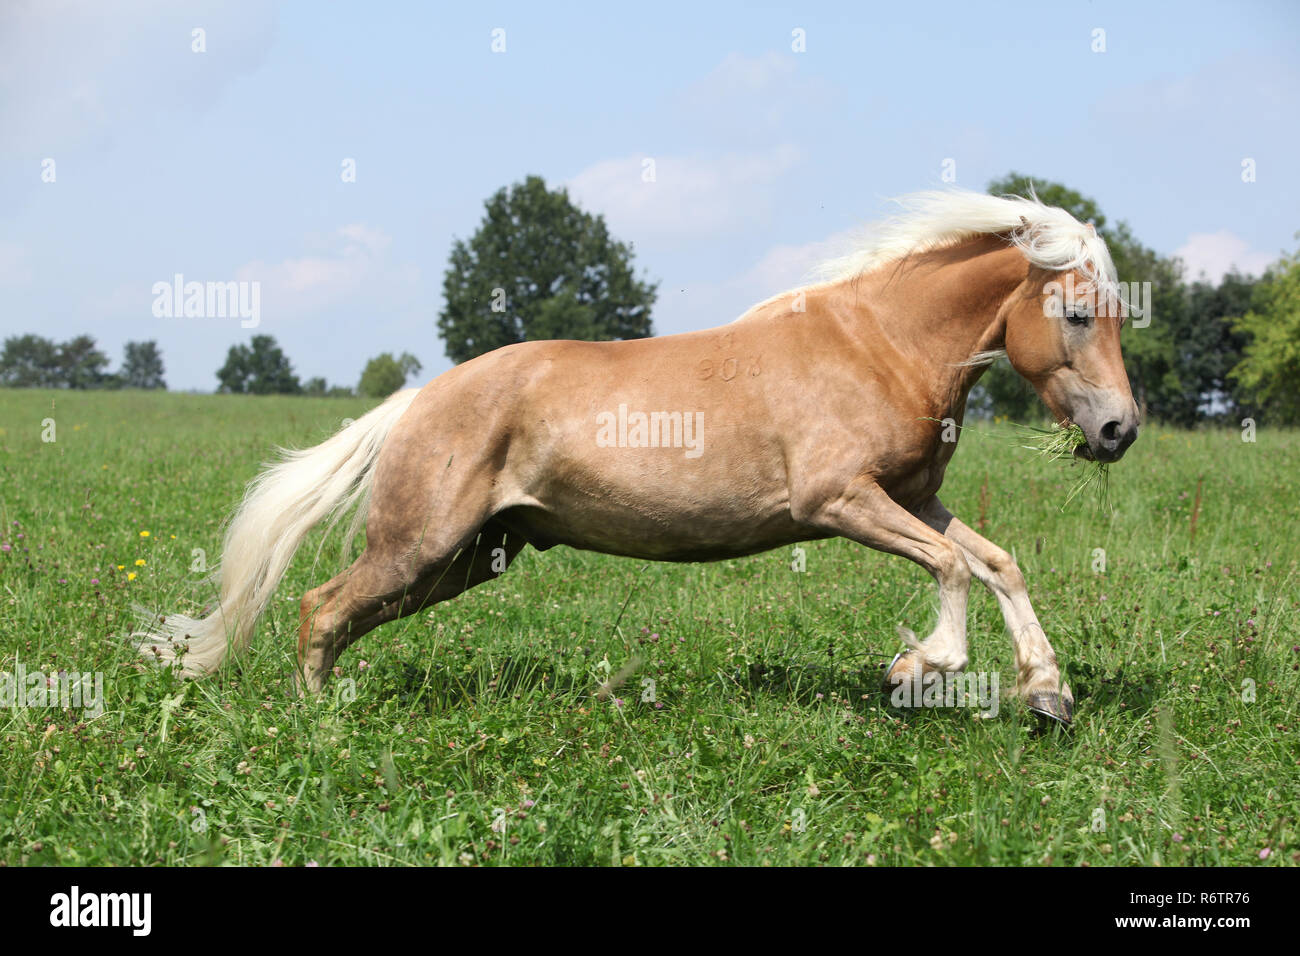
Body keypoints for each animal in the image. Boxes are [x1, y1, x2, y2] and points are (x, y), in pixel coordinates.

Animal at [134, 188, 1138, 723]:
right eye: (1075, 313)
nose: (1119, 431)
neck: (877, 345)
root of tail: (421, 397)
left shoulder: (910, 498)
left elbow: (997, 562)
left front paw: (1047, 694)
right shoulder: (838, 501)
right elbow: (952, 572)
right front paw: (915, 670)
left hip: (471, 557)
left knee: (338, 614)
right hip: (420, 544)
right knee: (318, 606)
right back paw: (318, 724)